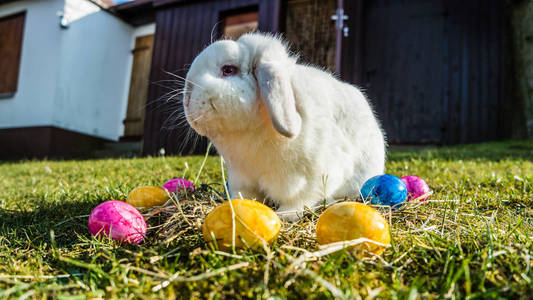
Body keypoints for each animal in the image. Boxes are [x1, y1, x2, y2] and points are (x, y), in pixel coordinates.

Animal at [183, 32, 382, 220]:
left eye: (228, 69)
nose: (187, 97)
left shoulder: (310, 178)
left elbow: (302, 198)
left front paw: (285, 215)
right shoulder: (241, 177)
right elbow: (246, 195)